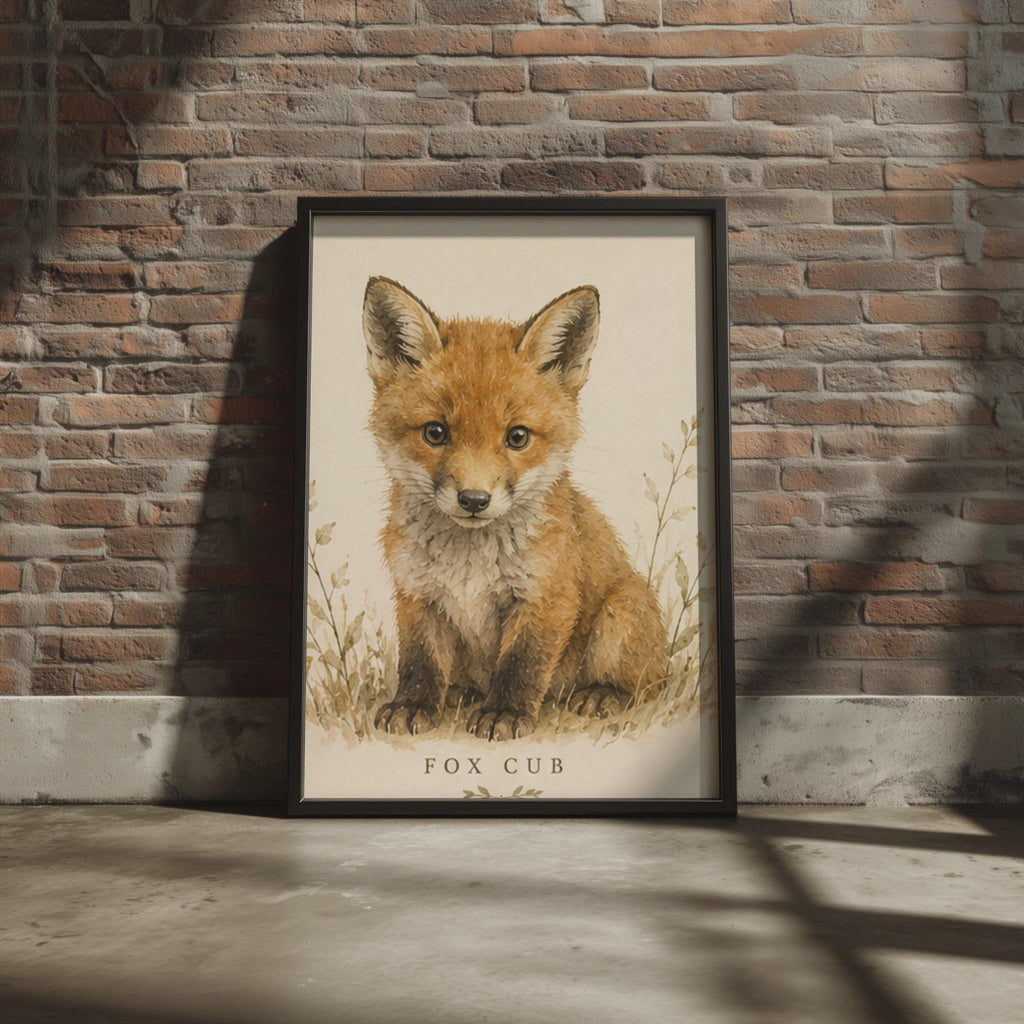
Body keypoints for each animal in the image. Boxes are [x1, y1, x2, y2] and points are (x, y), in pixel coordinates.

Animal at [363, 275, 668, 742]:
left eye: (518, 437)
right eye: (435, 433)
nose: (474, 500)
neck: (469, 561)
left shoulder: (547, 595)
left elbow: (522, 665)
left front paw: (505, 714)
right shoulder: (416, 594)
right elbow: (419, 661)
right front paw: (413, 705)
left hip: (621, 613)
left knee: (648, 683)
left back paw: (603, 694)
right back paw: (460, 693)